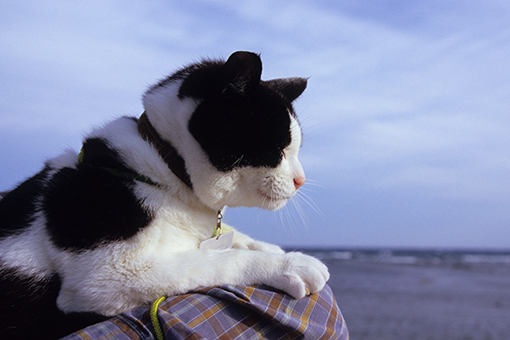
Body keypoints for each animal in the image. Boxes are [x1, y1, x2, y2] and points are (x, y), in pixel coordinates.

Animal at [0, 51, 328, 340]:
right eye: (278, 149)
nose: (301, 180)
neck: (167, 168)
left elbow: (234, 239)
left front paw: (271, 249)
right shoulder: (105, 278)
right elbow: (219, 260)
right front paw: (290, 265)